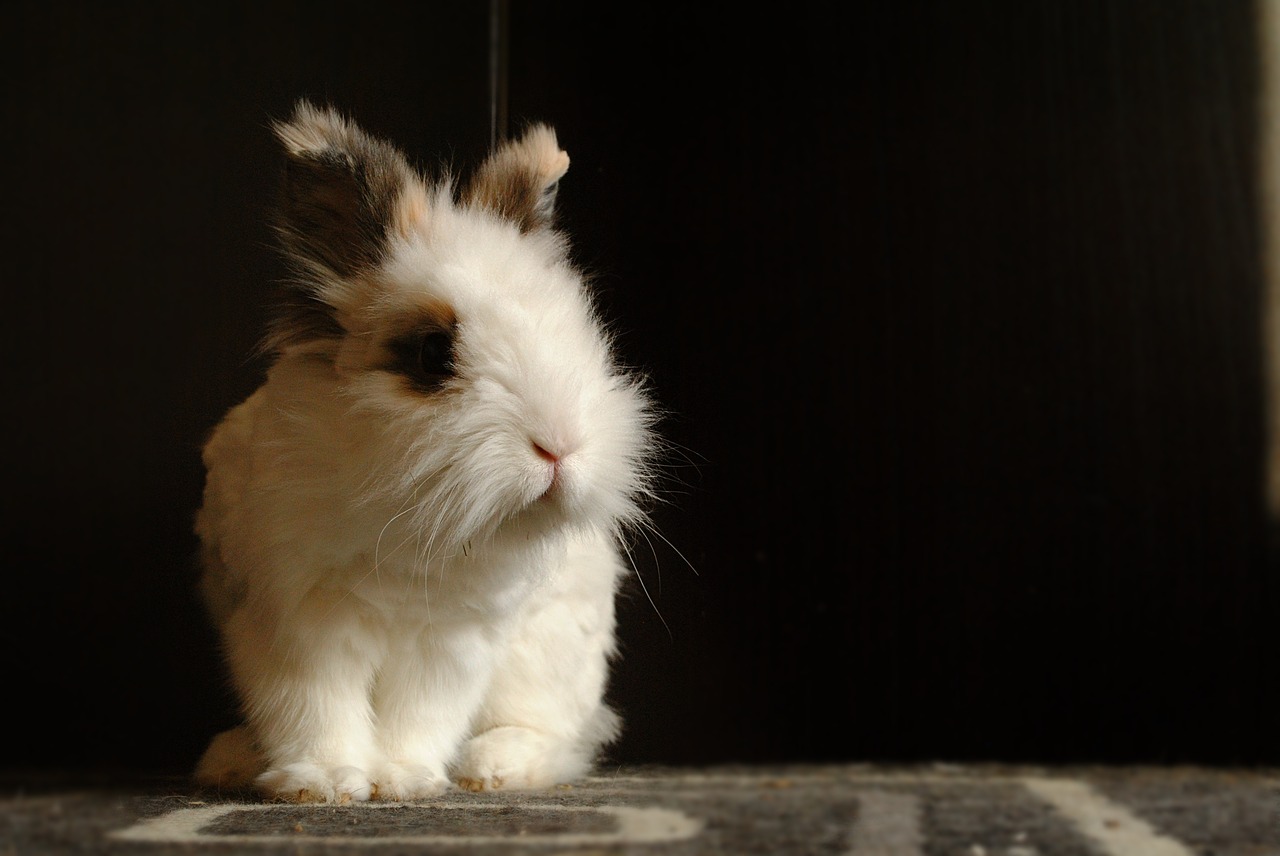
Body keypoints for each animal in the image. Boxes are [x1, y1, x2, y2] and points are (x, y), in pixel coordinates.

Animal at [189, 100, 660, 803]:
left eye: (578, 333)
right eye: (433, 354)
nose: (559, 448)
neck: (414, 525)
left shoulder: (453, 639)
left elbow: (420, 713)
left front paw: (401, 780)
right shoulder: (296, 623)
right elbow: (312, 707)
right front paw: (323, 783)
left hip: (549, 662)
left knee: (565, 737)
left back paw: (492, 768)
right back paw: (231, 760)